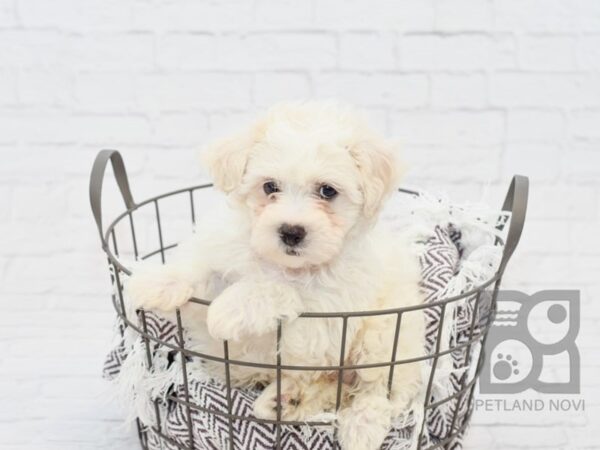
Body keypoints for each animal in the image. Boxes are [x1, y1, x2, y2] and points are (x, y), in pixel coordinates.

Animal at [129, 102, 424, 450]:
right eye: (269, 186)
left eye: (327, 191)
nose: (291, 232)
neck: (282, 263)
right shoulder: (225, 252)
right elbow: (200, 268)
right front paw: (157, 282)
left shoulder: (327, 315)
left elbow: (281, 290)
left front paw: (231, 309)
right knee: (331, 386)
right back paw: (286, 400)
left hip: (388, 334)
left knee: (379, 387)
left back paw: (361, 426)